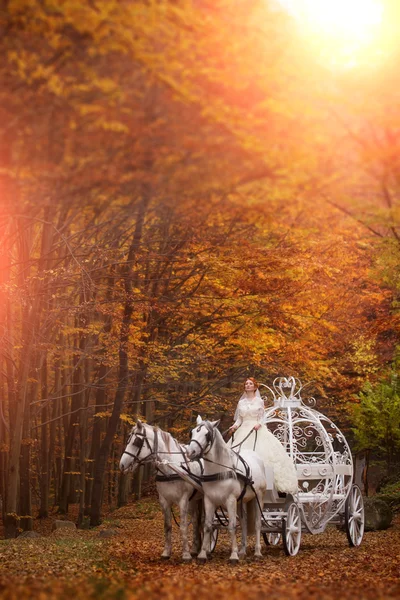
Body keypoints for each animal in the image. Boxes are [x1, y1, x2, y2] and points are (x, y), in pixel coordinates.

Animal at [118, 420, 200, 560]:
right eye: (128, 440)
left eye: (137, 442)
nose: (122, 465)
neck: (171, 468)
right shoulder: (164, 500)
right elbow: (167, 526)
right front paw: (166, 552)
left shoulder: (183, 500)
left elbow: (183, 527)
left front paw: (186, 554)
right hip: (193, 501)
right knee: (195, 520)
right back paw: (195, 548)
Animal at [186, 418, 268, 564]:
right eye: (193, 432)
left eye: (207, 434)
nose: (191, 452)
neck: (220, 471)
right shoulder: (209, 500)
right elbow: (207, 526)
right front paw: (202, 554)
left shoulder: (230, 500)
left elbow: (232, 526)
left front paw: (233, 555)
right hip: (241, 501)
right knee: (244, 523)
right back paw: (243, 551)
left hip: (258, 497)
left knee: (258, 523)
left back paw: (257, 552)